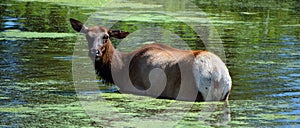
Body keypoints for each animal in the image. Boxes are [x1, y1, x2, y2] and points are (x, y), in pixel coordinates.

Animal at [70, 18, 232, 101]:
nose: (95, 52)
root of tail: (218, 75)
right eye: (88, 36)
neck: (119, 69)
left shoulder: (132, 88)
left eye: (106, 37)